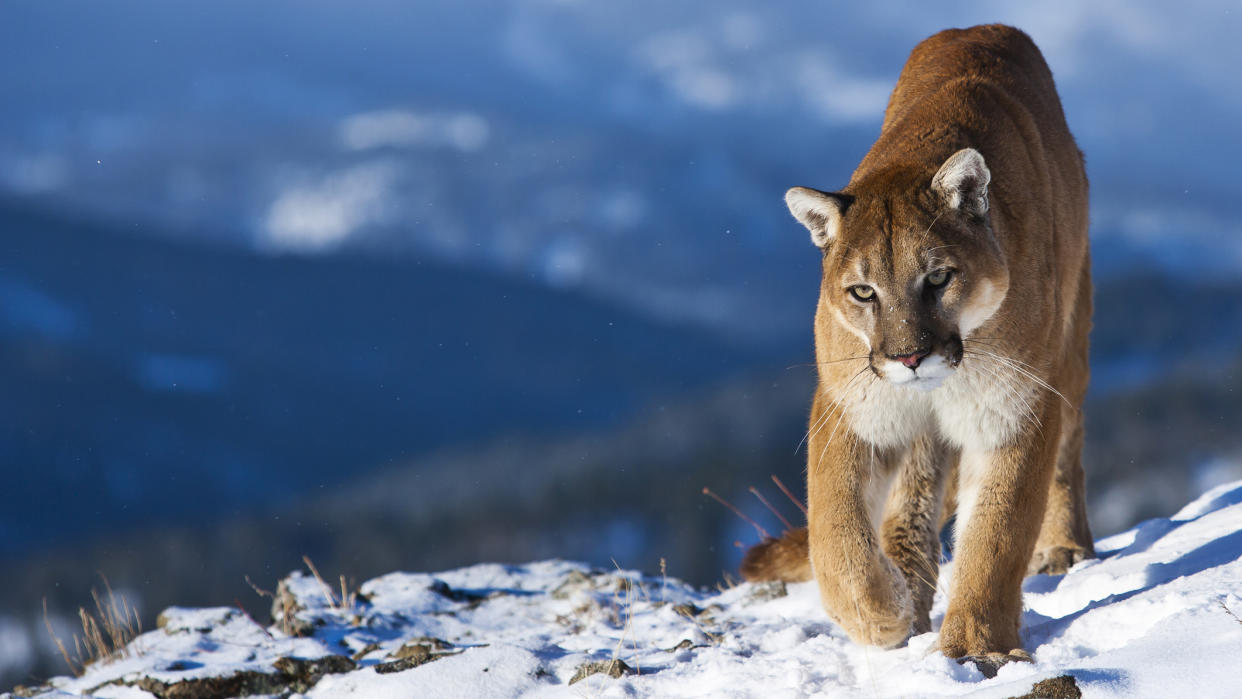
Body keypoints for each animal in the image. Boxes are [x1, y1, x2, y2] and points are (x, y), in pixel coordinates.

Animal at [740, 24, 1092, 670]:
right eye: (862, 291)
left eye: (938, 278)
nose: (908, 358)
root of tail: (982, 27)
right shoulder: (852, 405)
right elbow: (834, 530)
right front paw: (880, 615)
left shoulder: (1016, 410)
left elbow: (996, 534)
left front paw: (976, 648)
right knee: (910, 507)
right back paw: (907, 592)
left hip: (1072, 345)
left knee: (1068, 453)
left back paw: (1064, 549)